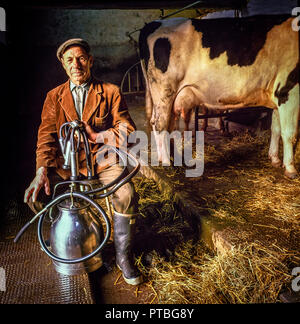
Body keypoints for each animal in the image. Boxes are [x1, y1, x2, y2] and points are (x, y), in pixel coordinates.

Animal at [139, 15, 298, 178]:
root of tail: (154, 23)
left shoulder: (277, 96)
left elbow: (276, 129)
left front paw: (275, 159)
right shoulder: (288, 90)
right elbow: (289, 133)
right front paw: (290, 169)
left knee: (163, 123)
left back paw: (169, 157)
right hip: (164, 91)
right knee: (160, 124)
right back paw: (166, 162)